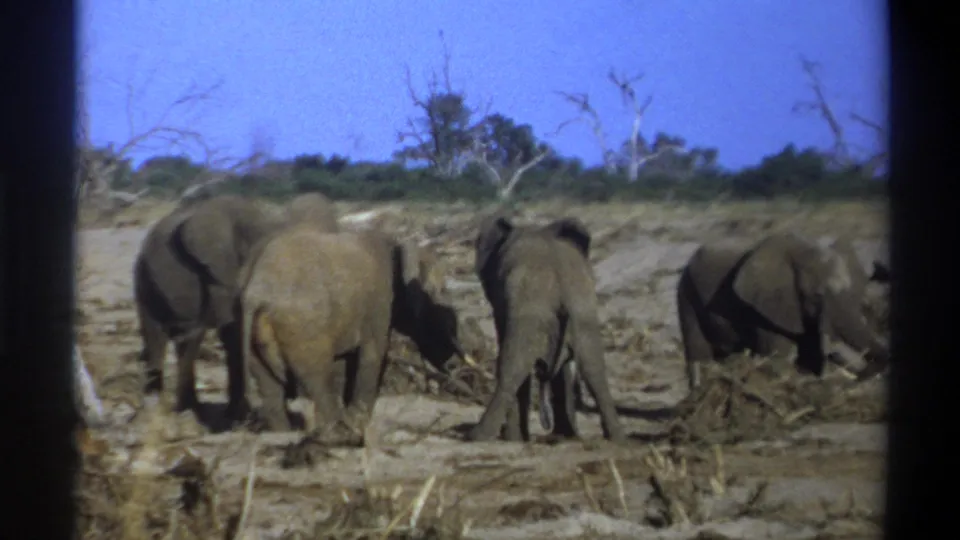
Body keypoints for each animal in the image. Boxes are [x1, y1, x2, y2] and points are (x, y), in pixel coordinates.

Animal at [133, 192, 340, 423]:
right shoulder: (218, 273)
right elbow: (233, 332)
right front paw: (238, 418)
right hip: (144, 279)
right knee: (157, 338)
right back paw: (163, 410)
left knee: (183, 343)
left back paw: (185, 409)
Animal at [237, 224, 472, 442]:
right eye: (439, 291)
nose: (454, 368)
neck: (398, 244)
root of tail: (256, 292)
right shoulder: (379, 303)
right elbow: (374, 353)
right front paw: (358, 420)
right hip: (303, 326)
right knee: (316, 377)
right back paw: (339, 433)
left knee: (268, 385)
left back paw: (285, 433)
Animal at [466, 214, 626, 444]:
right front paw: (564, 433)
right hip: (582, 310)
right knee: (593, 368)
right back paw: (614, 437)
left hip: (533, 310)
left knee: (513, 365)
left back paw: (482, 436)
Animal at [676, 231, 891, 392]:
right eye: (817, 296)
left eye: (855, 293)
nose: (834, 353)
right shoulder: (765, 307)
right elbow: (778, 357)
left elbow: (809, 357)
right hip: (686, 292)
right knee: (699, 353)